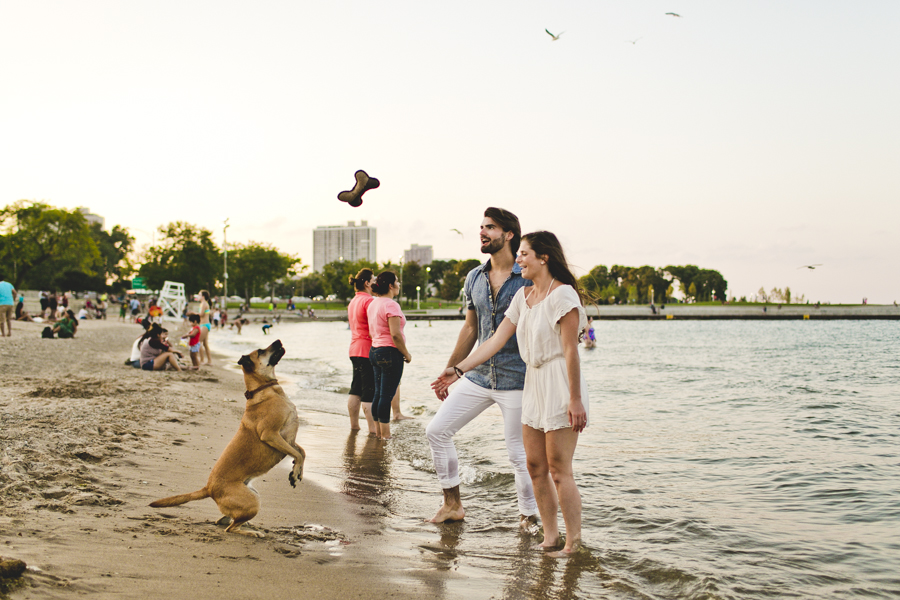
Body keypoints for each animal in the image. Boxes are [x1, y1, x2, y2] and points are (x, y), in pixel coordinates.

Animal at [149, 340, 308, 536]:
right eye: (261, 351)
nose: (278, 341)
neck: (265, 390)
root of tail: (209, 488)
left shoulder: (289, 439)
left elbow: (301, 452)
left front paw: (297, 471)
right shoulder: (270, 434)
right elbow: (298, 454)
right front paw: (295, 470)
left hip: (251, 496)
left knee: (225, 520)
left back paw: (247, 525)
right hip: (253, 501)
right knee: (230, 528)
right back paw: (251, 532)